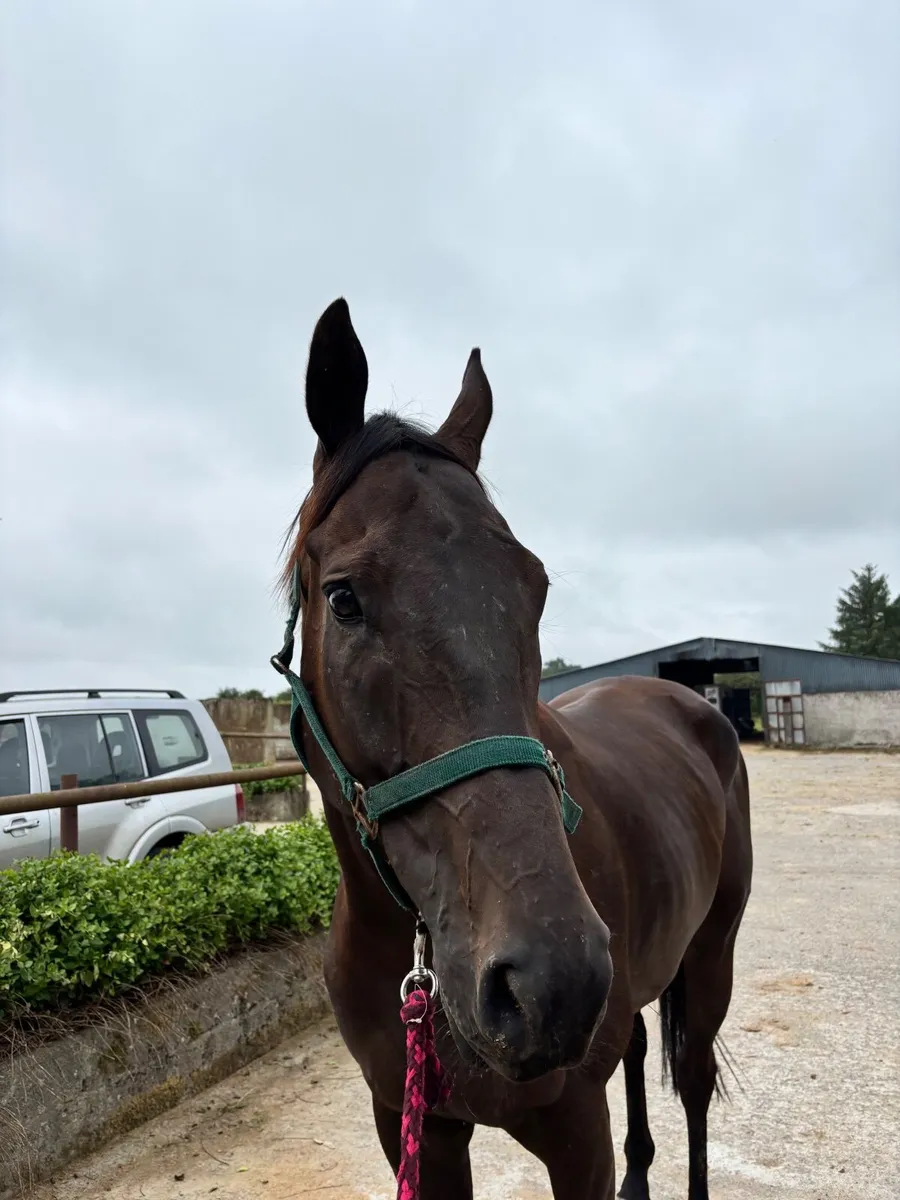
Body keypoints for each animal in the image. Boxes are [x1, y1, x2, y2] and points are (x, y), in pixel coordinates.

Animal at [275, 298, 753, 1200]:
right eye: (344, 598)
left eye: (534, 588)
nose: (550, 982)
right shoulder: (412, 1124)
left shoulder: (574, 1131)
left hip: (711, 957)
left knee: (694, 1081)